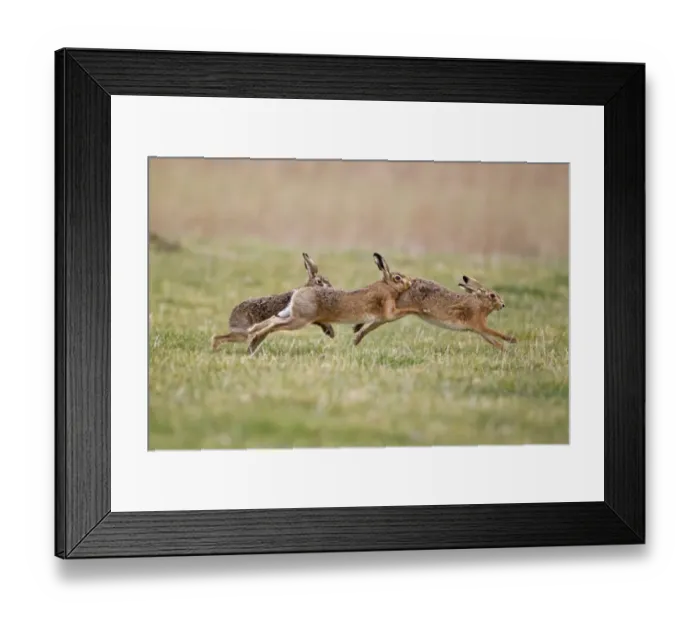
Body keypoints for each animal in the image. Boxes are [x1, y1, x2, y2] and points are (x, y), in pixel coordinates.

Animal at [245, 252, 422, 354]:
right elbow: (401, 311)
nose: (410, 283)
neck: (387, 286)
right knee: (274, 325)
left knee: (273, 320)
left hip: (292, 314)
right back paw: (255, 338)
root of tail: (299, 292)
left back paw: (252, 334)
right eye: (397, 278)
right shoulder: (388, 310)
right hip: (299, 320)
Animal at [352, 274, 517, 350]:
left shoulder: (479, 330)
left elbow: (493, 341)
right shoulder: (479, 323)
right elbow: (495, 333)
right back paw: (356, 335)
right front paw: (513, 341)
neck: (480, 303)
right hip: (398, 309)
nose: (503, 305)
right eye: (492, 296)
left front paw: (507, 351)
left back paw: (356, 337)